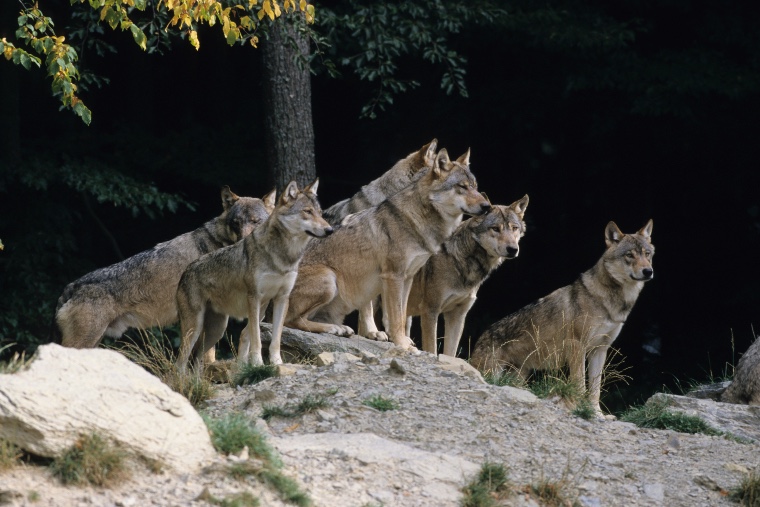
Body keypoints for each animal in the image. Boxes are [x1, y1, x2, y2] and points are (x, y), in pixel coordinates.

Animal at [178, 180, 332, 370]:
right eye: (307, 211)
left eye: (320, 213)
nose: (330, 230)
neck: (284, 256)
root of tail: (185, 272)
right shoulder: (254, 298)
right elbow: (257, 338)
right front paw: (258, 363)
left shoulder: (282, 298)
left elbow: (275, 338)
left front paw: (277, 362)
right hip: (195, 329)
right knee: (180, 362)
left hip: (218, 330)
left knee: (197, 362)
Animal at [282, 149, 490, 352]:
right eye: (462, 187)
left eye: (475, 186)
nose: (487, 206)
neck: (416, 220)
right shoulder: (393, 276)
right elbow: (395, 317)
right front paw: (402, 345)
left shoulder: (407, 277)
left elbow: (402, 315)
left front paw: (403, 341)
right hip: (329, 279)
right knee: (289, 321)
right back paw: (334, 329)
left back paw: (339, 329)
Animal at [406, 194, 524, 358]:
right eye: (495, 229)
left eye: (514, 228)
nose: (513, 249)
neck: (460, 261)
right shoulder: (430, 310)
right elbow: (432, 348)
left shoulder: (458, 315)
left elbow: (450, 353)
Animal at [470, 220, 652, 418]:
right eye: (629, 255)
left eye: (647, 254)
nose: (648, 271)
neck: (611, 301)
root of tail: (481, 336)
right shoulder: (577, 346)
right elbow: (580, 384)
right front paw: (579, 407)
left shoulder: (600, 350)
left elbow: (595, 388)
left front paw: (596, 413)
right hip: (493, 371)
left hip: (519, 375)